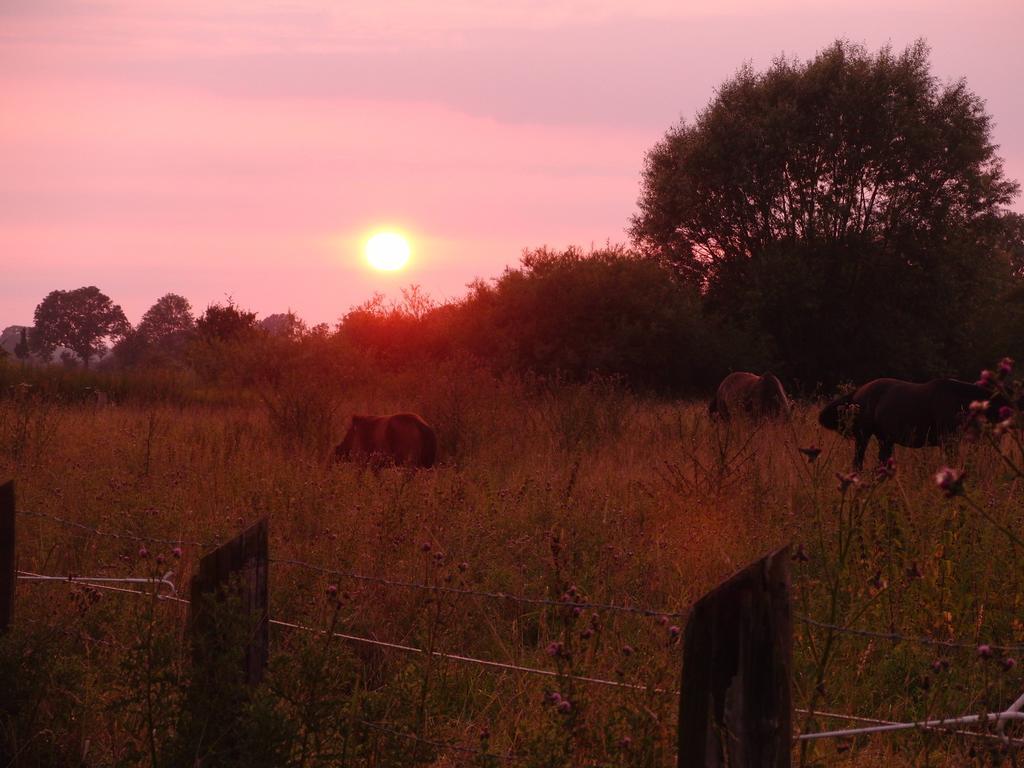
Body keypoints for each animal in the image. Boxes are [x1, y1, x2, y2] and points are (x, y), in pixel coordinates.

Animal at [815, 376, 1007, 468]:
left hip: (885, 440)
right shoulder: (948, 441)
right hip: (863, 436)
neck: (958, 399)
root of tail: (857, 393)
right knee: (857, 463)